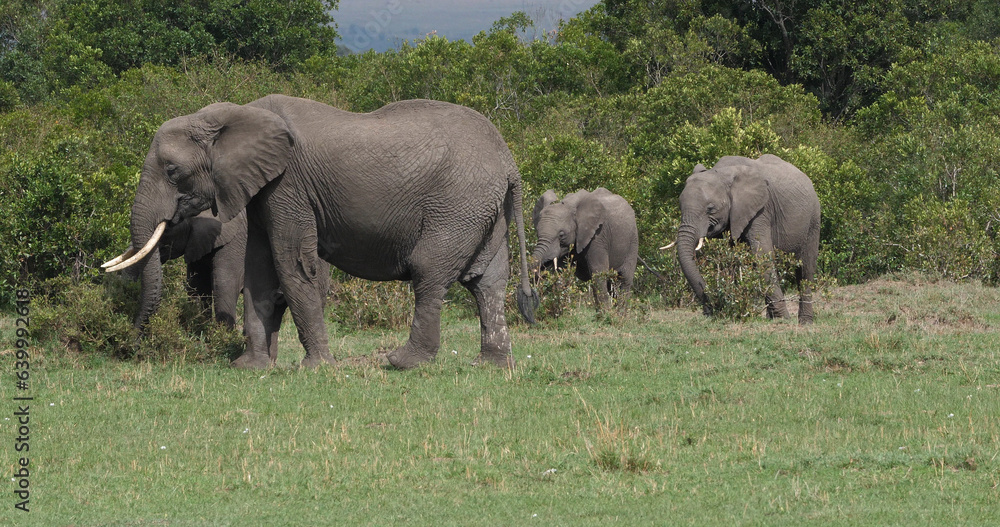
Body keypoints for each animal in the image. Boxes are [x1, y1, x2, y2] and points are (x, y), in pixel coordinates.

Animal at [671, 154, 820, 324]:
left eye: (710, 208)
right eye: (680, 207)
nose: (710, 311)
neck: (722, 173)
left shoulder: (761, 210)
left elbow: (762, 255)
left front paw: (783, 319)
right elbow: (733, 258)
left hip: (813, 218)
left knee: (805, 269)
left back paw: (805, 322)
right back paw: (771, 318)